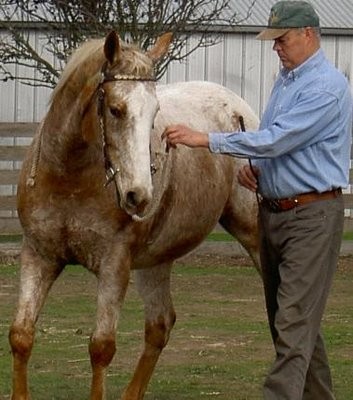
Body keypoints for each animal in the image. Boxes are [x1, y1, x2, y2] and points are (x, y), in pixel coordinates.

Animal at [9, 29, 258, 398]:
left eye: (155, 114)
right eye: (115, 109)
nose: (138, 196)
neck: (69, 177)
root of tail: (241, 111)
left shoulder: (114, 265)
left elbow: (101, 348)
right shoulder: (38, 256)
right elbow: (21, 336)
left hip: (254, 235)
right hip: (156, 261)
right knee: (159, 325)